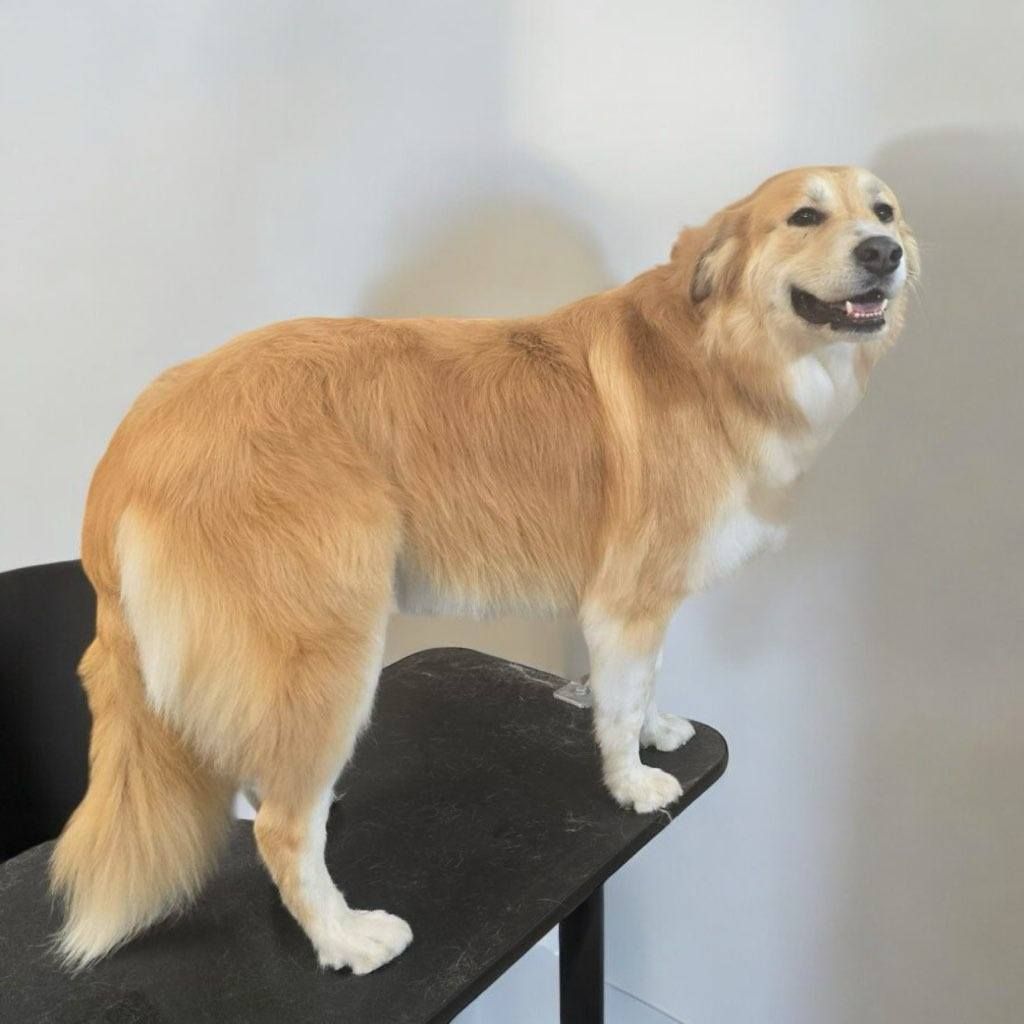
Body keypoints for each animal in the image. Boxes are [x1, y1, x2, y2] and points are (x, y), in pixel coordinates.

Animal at [51, 167, 921, 974]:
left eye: (882, 211)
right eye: (804, 216)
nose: (886, 253)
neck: (721, 353)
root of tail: (132, 442)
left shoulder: (644, 606)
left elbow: (643, 685)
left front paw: (659, 729)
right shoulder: (626, 601)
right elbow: (617, 708)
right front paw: (632, 782)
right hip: (328, 650)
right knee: (286, 829)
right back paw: (344, 936)